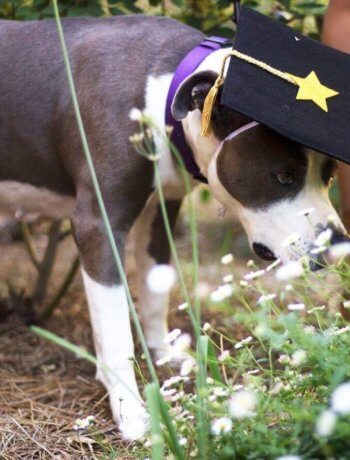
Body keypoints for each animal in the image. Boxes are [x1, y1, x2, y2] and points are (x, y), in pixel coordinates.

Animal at [0, 14, 348, 438]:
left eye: (328, 175)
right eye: (283, 176)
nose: (338, 244)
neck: (162, 97)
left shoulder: (162, 213)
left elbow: (154, 291)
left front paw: (163, 354)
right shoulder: (99, 225)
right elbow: (114, 330)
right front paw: (131, 409)